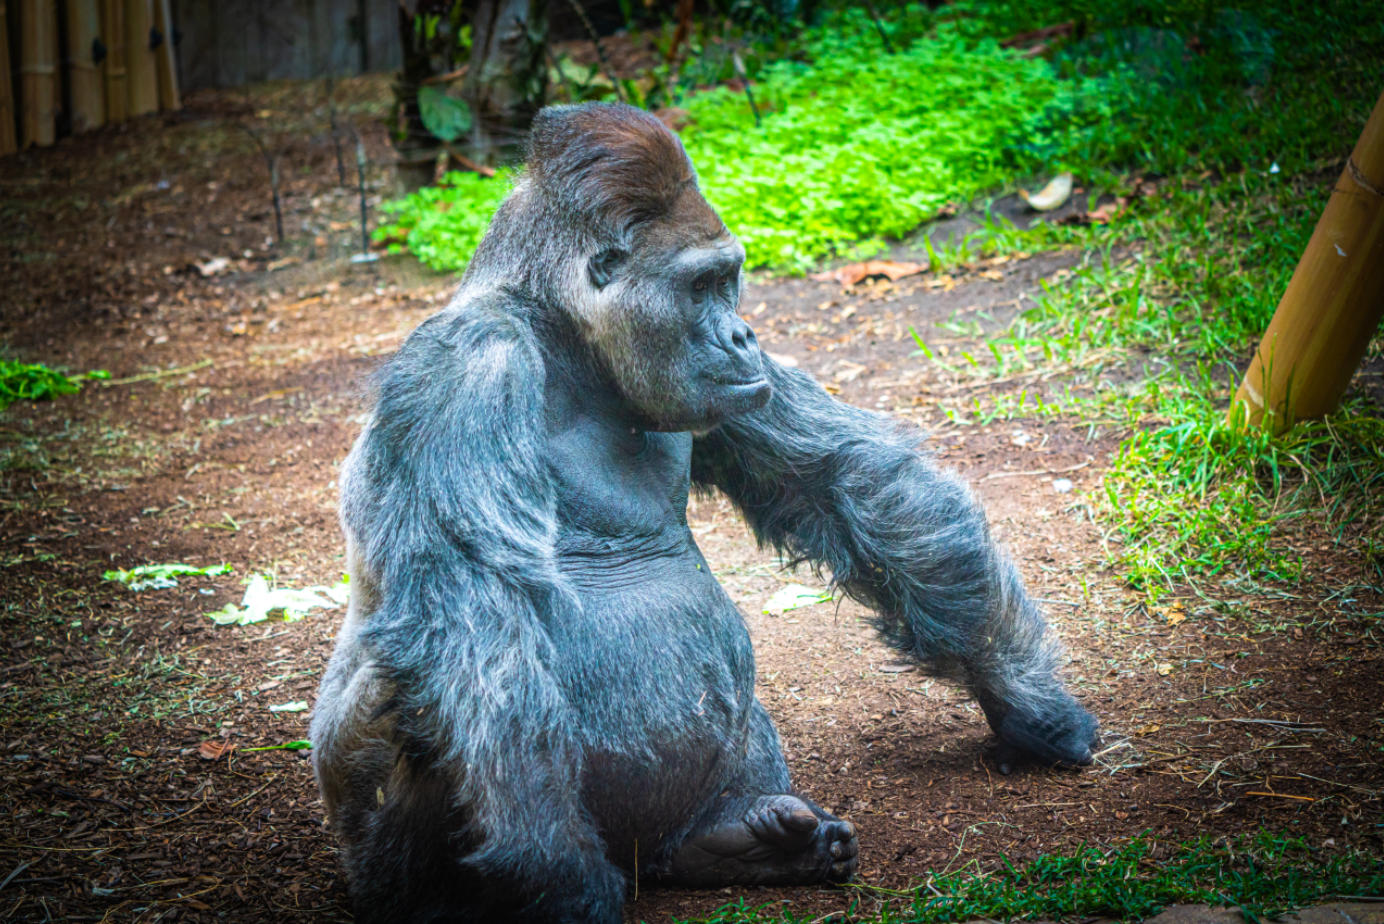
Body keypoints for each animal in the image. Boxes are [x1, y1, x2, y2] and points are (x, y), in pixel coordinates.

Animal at [310, 101, 1098, 924]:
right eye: (701, 287)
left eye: (731, 282)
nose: (742, 333)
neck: (561, 333)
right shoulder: (467, 364)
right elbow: (477, 612)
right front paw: (557, 874)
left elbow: (844, 477)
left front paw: (1024, 699)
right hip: (381, 862)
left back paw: (734, 841)